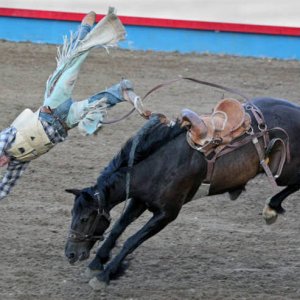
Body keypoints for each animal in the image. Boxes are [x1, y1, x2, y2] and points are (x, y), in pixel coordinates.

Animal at [64, 94, 300, 290]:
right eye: (72, 214)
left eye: (84, 218)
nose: (70, 253)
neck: (161, 163)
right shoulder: (140, 200)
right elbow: (117, 228)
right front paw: (97, 262)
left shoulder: (167, 214)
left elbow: (132, 240)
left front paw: (105, 275)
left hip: (284, 172)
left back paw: (272, 208)